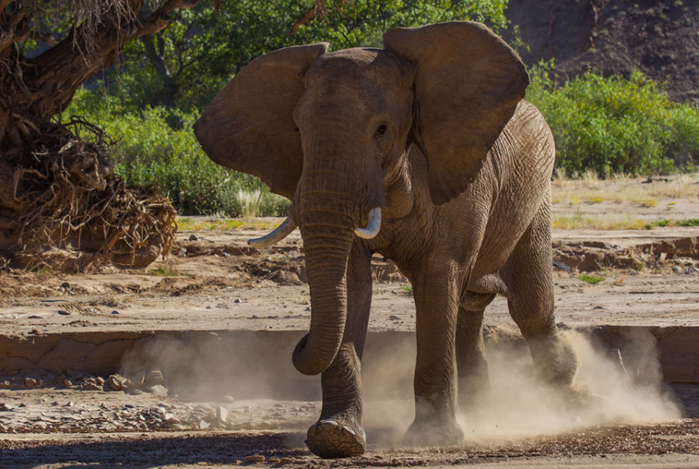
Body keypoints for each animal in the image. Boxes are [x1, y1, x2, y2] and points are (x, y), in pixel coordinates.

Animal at [194, 21, 576, 458]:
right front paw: (335, 437)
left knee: (529, 305)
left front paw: (431, 439)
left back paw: (565, 397)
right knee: (470, 307)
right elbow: (352, 282)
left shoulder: (461, 181)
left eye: (382, 130)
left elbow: (438, 280)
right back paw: (482, 411)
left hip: (537, 194)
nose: (299, 341)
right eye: (297, 130)